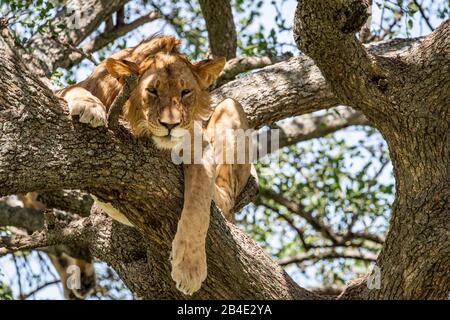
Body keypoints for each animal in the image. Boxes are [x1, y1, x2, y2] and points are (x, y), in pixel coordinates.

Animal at [55, 35, 251, 296]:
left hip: (231, 106)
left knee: (226, 198)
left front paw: (189, 268)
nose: (171, 125)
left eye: (185, 92)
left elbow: (197, 207)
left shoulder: (200, 148)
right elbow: (75, 89)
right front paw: (90, 106)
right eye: (152, 91)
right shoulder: (72, 88)